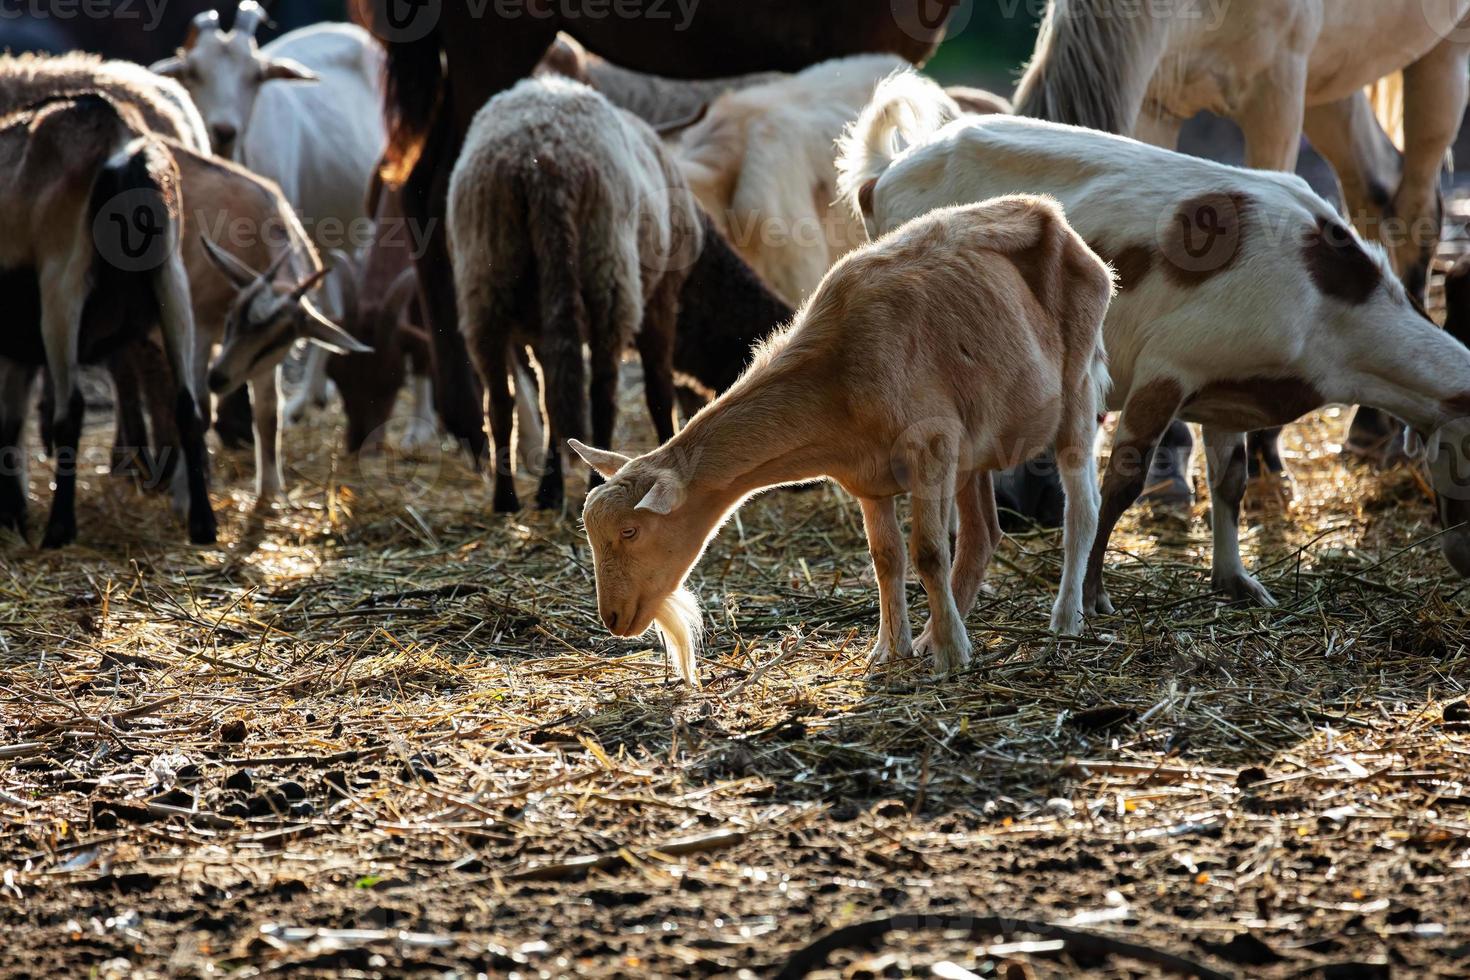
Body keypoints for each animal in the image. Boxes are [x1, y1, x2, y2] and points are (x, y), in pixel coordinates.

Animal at [567, 195, 1105, 687]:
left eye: (631, 531)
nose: (613, 619)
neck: (835, 375)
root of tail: (1052, 214)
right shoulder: (868, 475)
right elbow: (887, 558)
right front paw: (892, 649)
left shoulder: (930, 445)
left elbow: (929, 552)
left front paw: (952, 657)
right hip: (974, 447)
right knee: (981, 535)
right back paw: (933, 634)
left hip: (1077, 388)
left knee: (1082, 510)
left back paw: (1063, 619)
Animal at [846, 72, 1470, 614]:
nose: (1461, 558)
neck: (1327, 304)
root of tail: (882, 178)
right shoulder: (1167, 367)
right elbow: (1122, 483)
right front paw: (1093, 594)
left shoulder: (1228, 392)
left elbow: (1230, 484)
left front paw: (1235, 580)